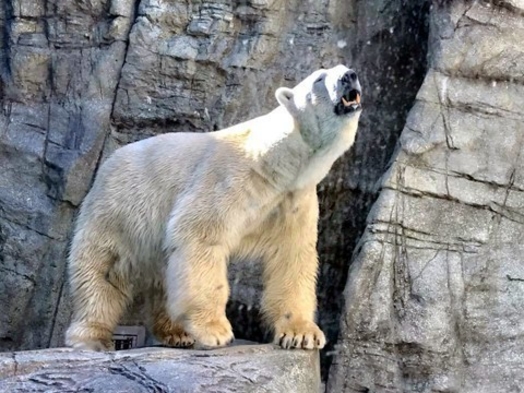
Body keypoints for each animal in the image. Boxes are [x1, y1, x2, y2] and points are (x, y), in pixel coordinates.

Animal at [64, 64, 360, 350]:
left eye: (343, 68)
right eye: (319, 78)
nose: (350, 75)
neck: (277, 164)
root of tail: (110, 161)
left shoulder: (294, 198)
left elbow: (292, 255)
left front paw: (302, 334)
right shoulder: (230, 178)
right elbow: (200, 236)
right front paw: (214, 331)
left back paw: (176, 333)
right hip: (121, 207)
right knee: (104, 269)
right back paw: (91, 337)